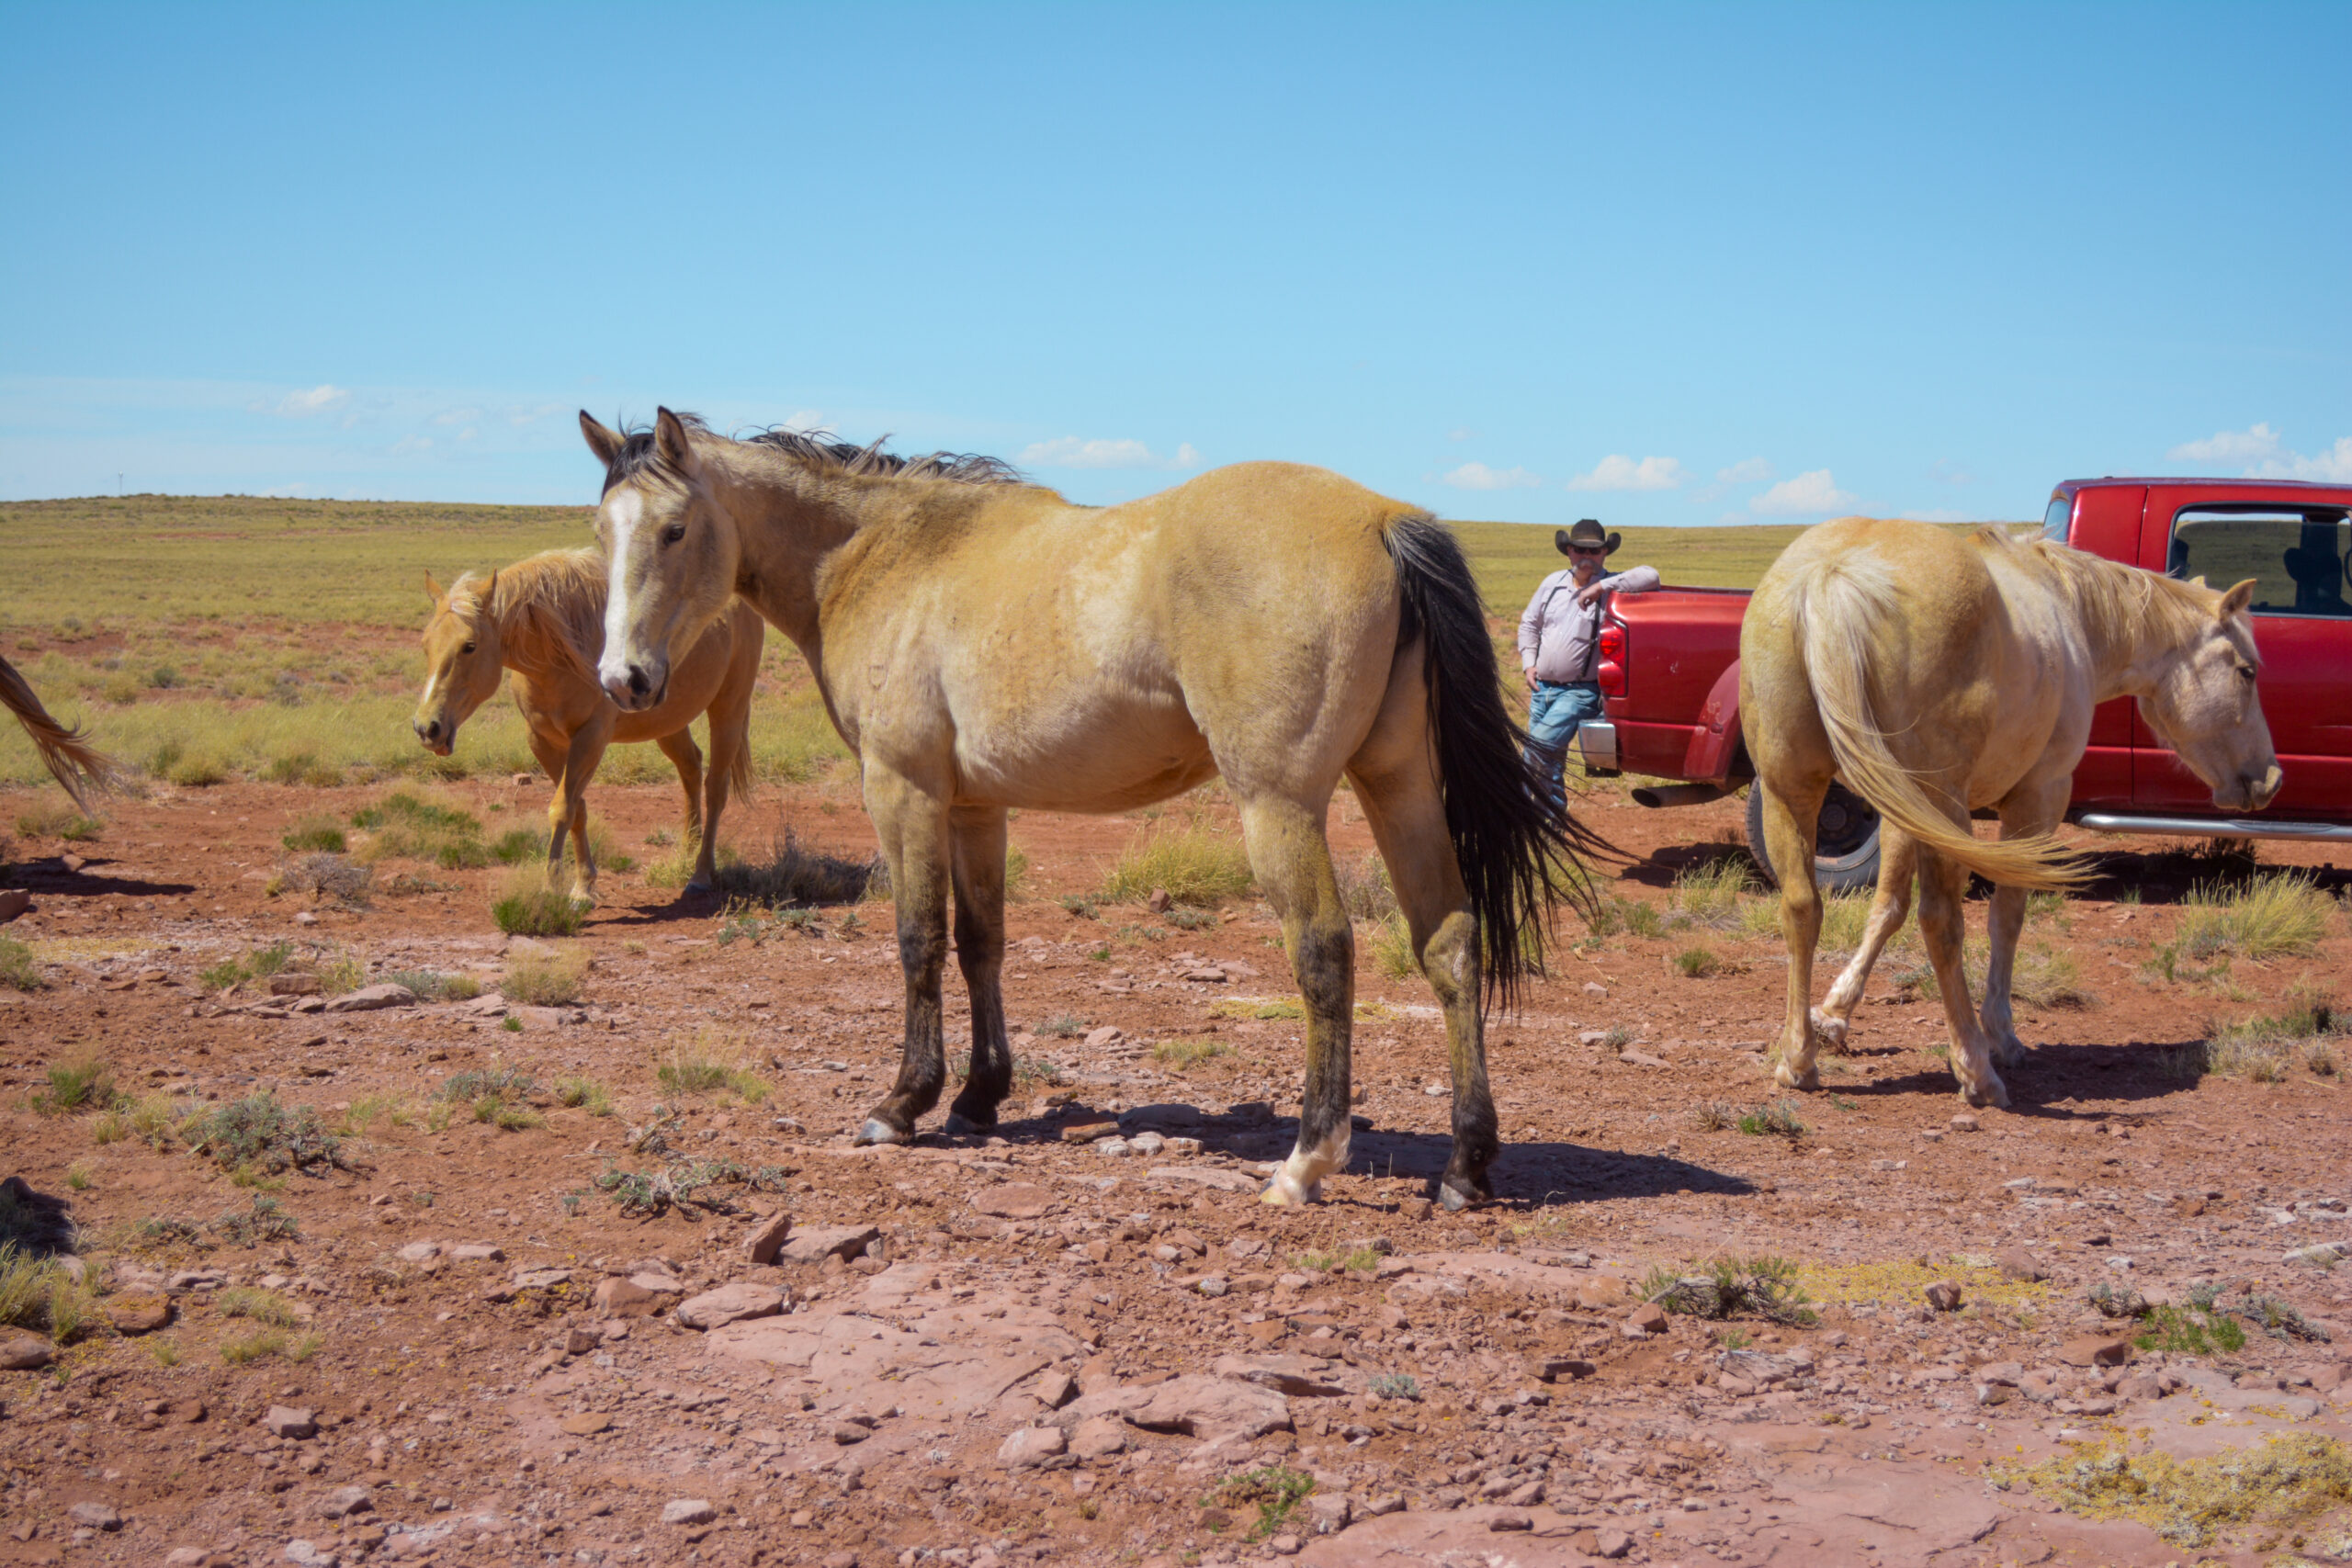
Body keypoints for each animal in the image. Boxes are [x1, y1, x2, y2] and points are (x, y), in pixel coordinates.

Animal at [411, 547, 763, 902]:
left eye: (469, 646)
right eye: (425, 644)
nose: (427, 728)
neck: (556, 658)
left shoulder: (591, 737)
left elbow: (562, 809)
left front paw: (554, 887)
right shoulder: (542, 740)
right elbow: (576, 810)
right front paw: (583, 885)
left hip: (728, 709)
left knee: (715, 788)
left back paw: (701, 873)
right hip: (669, 722)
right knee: (690, 767)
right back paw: (688, 849)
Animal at [577, 408, 1596, 1210]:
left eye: (674, 529)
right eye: (601, 533)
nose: (623, 680)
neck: (878, 556)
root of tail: (1386, 519)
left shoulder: (902, 791)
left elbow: (916, 940)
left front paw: (902, 1104)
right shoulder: (974, 808)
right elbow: (981, 940)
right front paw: (978, 1096)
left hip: (1279, 804)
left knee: (1324, 953)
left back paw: (1307, 1160)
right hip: (1398, 785)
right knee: (1449, 941)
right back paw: (1465, 1164)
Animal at [1741, 517, 2279, 1109]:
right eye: (2247, 671)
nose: (2270, 778)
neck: (2069, 610)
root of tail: (1834, 574)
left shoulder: (1902, 815)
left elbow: (1886, 908)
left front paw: (1836, 1013)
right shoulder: (2038, 797)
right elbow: (2008, 914)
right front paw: (2001, 1033)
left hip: (1794, 792)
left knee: (1802, 907)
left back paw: (1798, 1058)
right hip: (1939, 801)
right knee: (1941, 920)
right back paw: (1975, 1068)